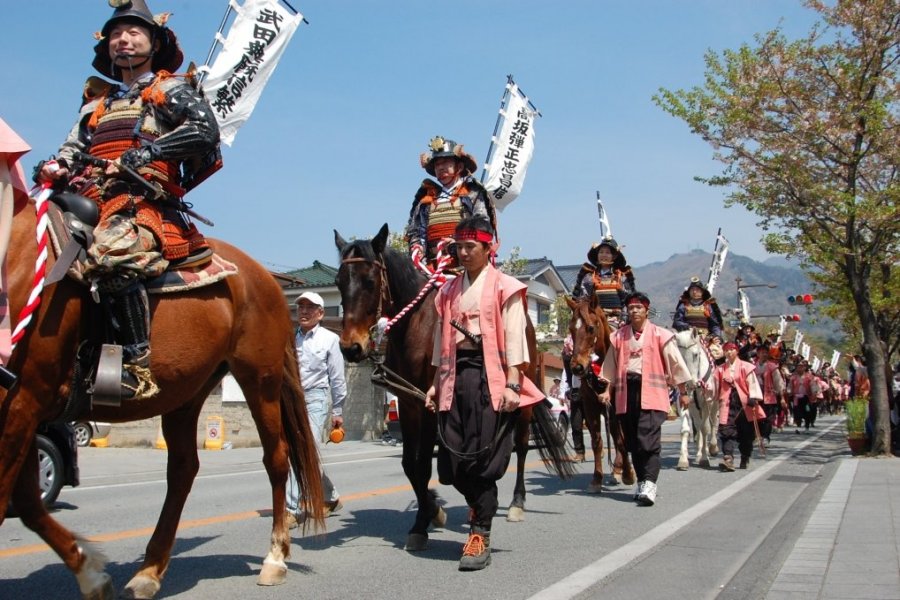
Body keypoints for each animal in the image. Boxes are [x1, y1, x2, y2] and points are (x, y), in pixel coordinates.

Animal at [0, 195, 324, 596]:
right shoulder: (26, 408)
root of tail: (265, 277)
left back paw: (274, 557)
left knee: (276, 458)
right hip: (185, 391)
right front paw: (91, 573)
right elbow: (27, 500)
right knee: (183, 468)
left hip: (259, 378)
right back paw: (149, 570)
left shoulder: (24, 398)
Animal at [334, 225, 572, 552]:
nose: (351, 348)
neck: (415, 327)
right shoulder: (409, 402)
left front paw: (423, 523)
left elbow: (422, 464)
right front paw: (431, 512)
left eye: (370, 281)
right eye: (338, 282)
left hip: (523, 395)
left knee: (522, 446)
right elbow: (410, 464)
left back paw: (516, 503)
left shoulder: (430, 403)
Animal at [568, 294, 636, 492]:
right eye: (571, 329)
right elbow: (597, 441)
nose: (577, 367)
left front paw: (628, 474)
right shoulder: (590, 406)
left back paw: (621, 469)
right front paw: (596, 478)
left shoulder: (616, 407)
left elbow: (620, 439)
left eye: (590, 328)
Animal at [672, 328, 720, 468]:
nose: (688, 383)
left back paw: (712, 448)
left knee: (713, 421)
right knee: (698, 425)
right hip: (694, 407)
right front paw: (683, 460)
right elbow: (686, 430)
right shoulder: (683, 402)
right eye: (677, 356)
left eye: (695, 355)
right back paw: (698, 453)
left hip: (715, 403)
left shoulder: (707, 402)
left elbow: (706, 428)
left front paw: (705, 458)